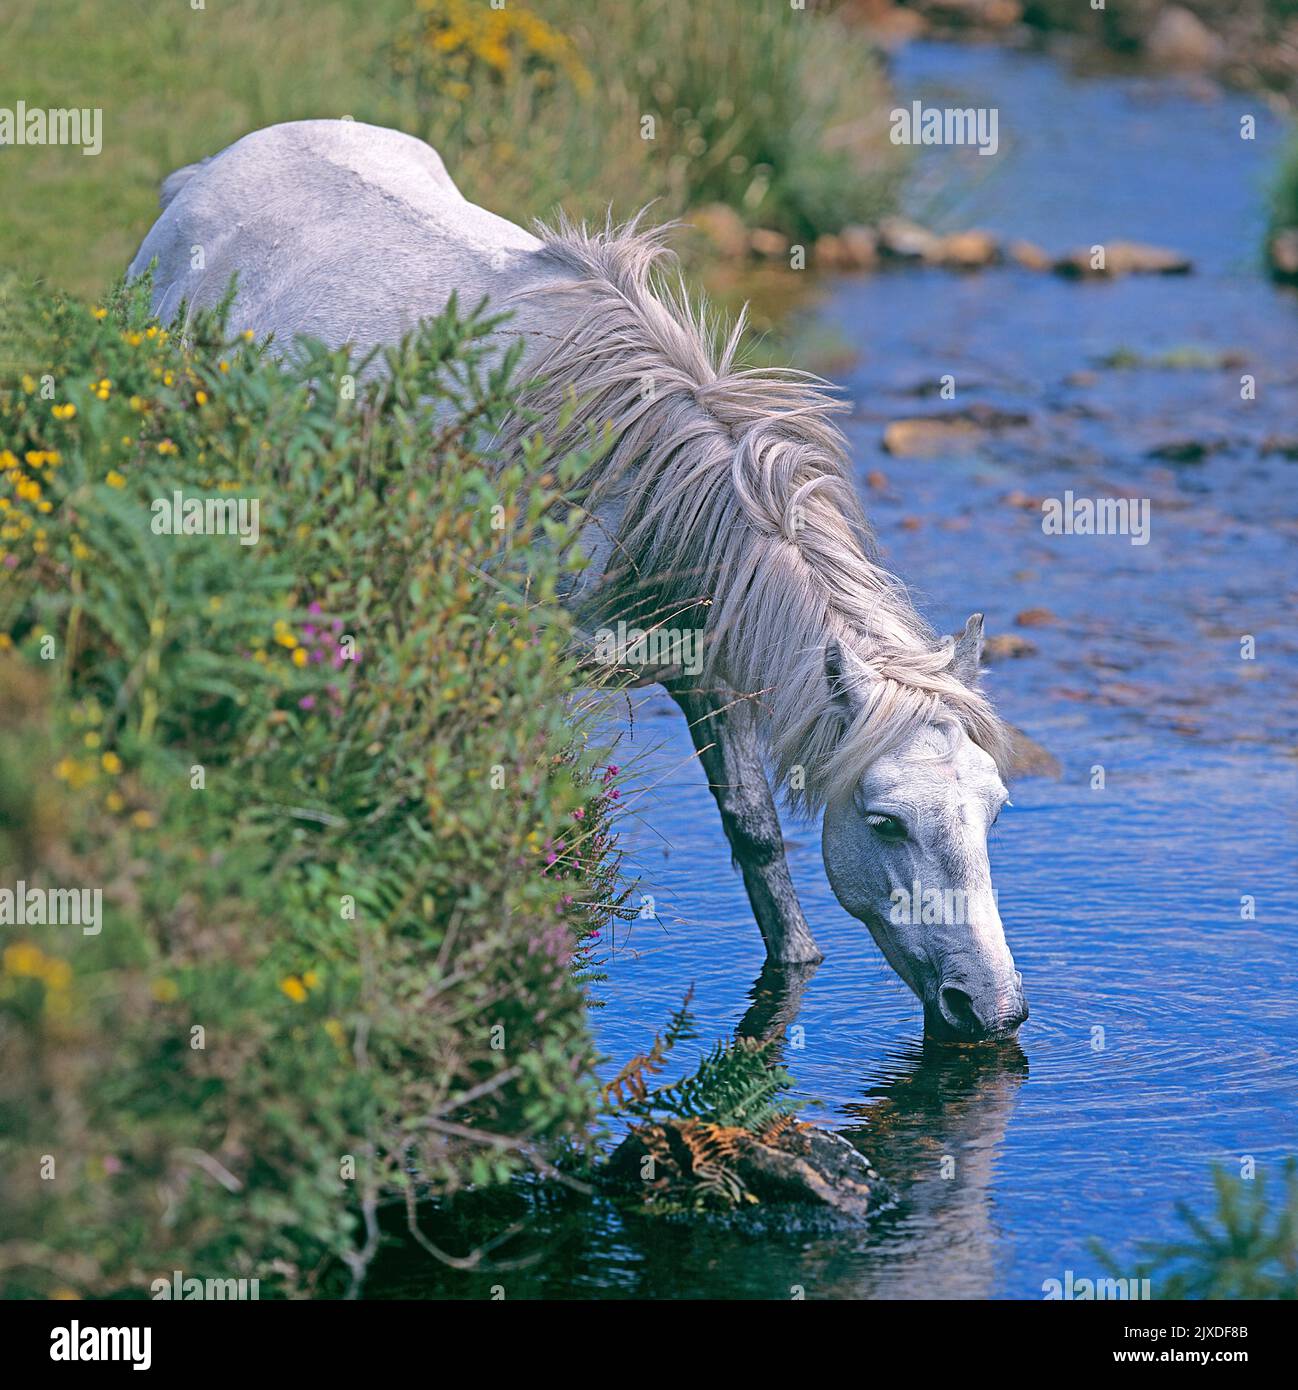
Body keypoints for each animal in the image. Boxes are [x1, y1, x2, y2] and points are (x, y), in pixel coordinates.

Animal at [129, 122, 1028, 1045]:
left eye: (994, 809)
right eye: (885, 822)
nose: (993, 1011)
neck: (635, 491)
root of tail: (207, 173)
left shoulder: (711, 677)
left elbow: (755, 835)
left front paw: (794, 968)